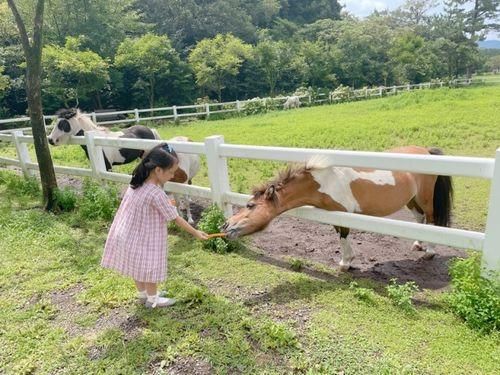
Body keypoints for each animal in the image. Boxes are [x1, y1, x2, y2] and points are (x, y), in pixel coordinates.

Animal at [223, 145, 454, 272]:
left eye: (250, 205)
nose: (226, 226)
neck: (324, 180)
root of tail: (426, 151)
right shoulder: (334, 214)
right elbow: (340, 235)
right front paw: (348, 261)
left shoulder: (343, 214)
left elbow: (343, 236)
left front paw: (345, 263)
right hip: (411, 200)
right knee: (420, 219)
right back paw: (417, 244)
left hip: (425, 198)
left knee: (431, 219)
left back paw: (429, 252)